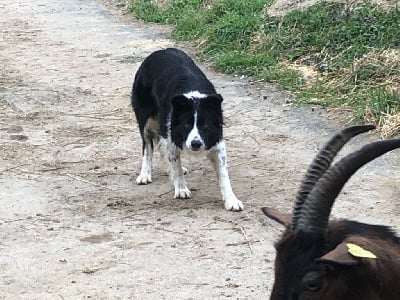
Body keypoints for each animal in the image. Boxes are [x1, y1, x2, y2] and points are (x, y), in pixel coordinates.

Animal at [133, 47, 242, 211]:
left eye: (205, 126)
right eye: (186, 125)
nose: (195, 144)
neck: (194, 99)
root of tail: (159, 51)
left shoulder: (216, 141)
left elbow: (224, 176)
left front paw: (231, 200)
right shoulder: (172, 134)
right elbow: (175, 165)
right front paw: (181, 189)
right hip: (146, 119)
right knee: (148, 148)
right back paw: (145, 174)